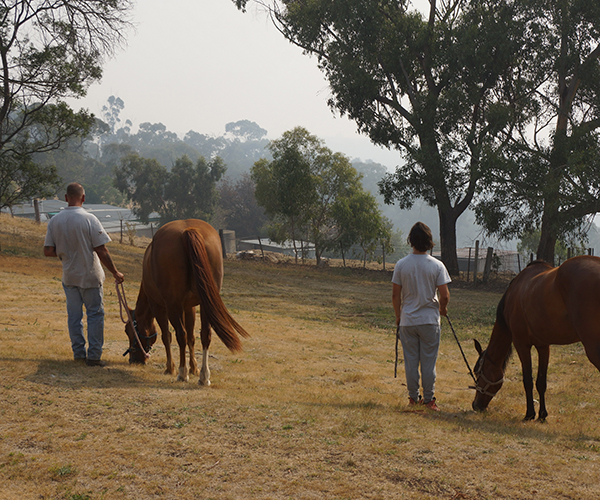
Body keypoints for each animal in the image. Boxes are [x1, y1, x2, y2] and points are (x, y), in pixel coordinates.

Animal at [125, 217, 250, 384]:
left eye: (128, 331)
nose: (133, 360)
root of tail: (188, 231)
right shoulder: (189, 307)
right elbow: (192, 337)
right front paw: (194, 368)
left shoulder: (158, 306)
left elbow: (167, 336)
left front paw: (170, 368)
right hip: (206, 304)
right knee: (205, 334)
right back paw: (204, 376)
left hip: (173, 306)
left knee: (180, 335)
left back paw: (182, 373)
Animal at [472, 256, 600, 420]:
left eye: (477, 372)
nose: (475, 405)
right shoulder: (543, 346)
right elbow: (541, 382)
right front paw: (542, 415)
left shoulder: (521, 344)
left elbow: (528, 380)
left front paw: (530, 414)